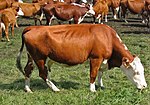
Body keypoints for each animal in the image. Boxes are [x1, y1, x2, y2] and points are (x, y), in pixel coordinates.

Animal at [16, 23, 148, 92]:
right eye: (136, 72)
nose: (144, 86)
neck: (108, 38)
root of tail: (32, 27)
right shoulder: (95, 58)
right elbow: (93, 74)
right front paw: (93, 89)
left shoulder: (103, 60)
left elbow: (100, 73)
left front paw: (101, 85)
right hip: (40, 58)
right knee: (43, 74)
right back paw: (55, 88)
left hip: (32, 57)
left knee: (27, 70)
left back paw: (28, 89)